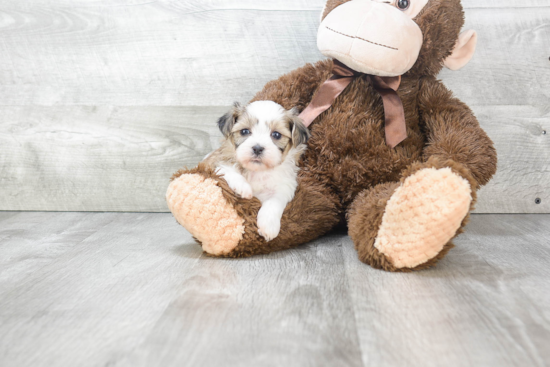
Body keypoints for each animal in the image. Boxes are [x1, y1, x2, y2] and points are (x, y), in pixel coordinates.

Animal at [204, 102, 314, 243]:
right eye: (244, 131)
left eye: (276, 135)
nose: (257, 148)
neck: (257, 170)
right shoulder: (216, 162)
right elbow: (228, 169)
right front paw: (243, 188)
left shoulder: (283, 186)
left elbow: (274, 202)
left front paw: (269, 226)